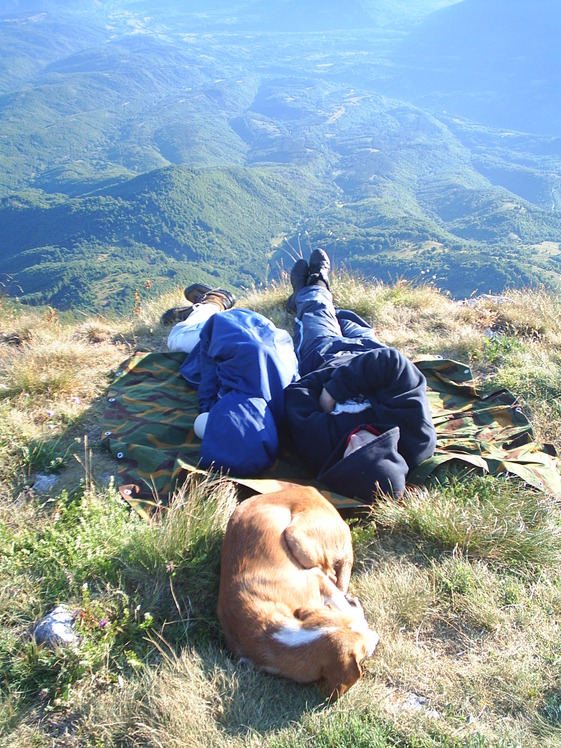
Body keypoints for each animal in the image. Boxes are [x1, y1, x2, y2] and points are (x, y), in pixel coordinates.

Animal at [217, 486, 378, 696]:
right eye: (364, 651)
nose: (377, 638)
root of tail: (309, 489)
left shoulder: (315, 578)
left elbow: (344, 604)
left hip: (298, 540)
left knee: (331, 574)